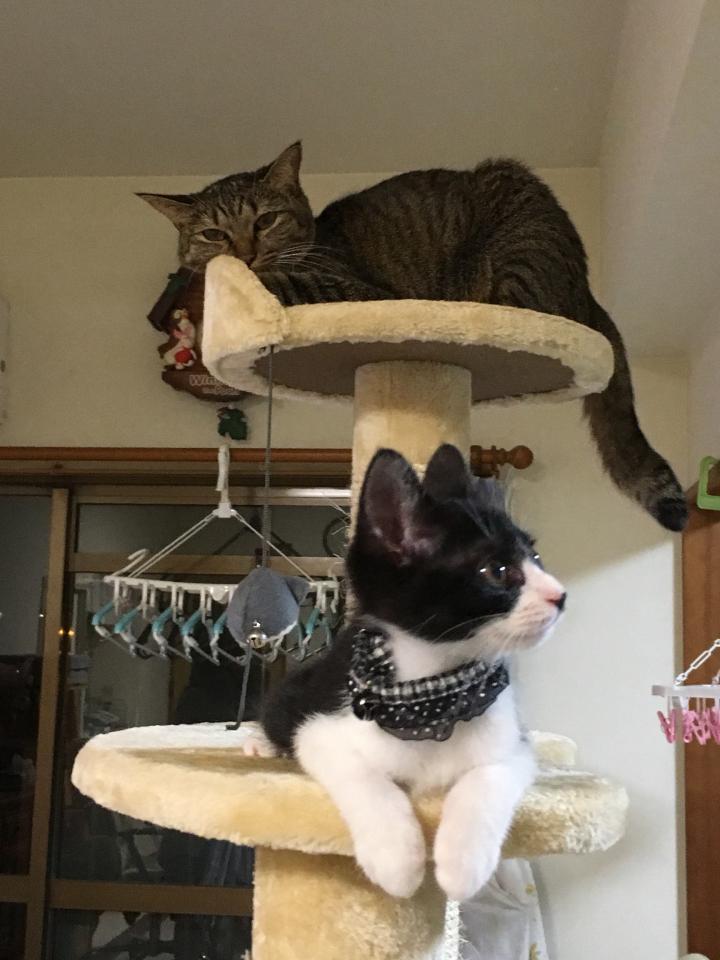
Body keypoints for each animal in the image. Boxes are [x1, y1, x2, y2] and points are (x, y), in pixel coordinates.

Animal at [139, 143, 687, 532]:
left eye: (266, 220)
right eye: (212, 233)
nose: (245, 254)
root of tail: (588, 287)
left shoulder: (349, 288)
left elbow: (281, 283)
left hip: (517, 244)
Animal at [241, 444, 566, 900]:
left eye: (535, 558)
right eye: (499, 572)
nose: (560, 596)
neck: (432, 690)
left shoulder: (513, 743)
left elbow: (491, 776)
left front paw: (463, 862)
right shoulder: (321, 729)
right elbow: (361, 775)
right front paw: (397, 857)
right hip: (295, 691)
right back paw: (259, 745)